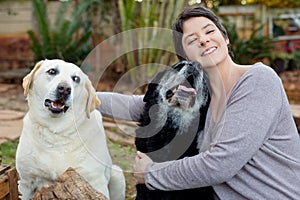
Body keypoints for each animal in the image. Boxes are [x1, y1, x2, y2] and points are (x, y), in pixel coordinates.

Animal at [15, 58, 125, 199]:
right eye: (52, 71)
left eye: (76, 79)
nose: (65, 89)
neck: (57, 132)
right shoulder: (25, 182)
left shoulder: (95, 181)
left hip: (117, 174)